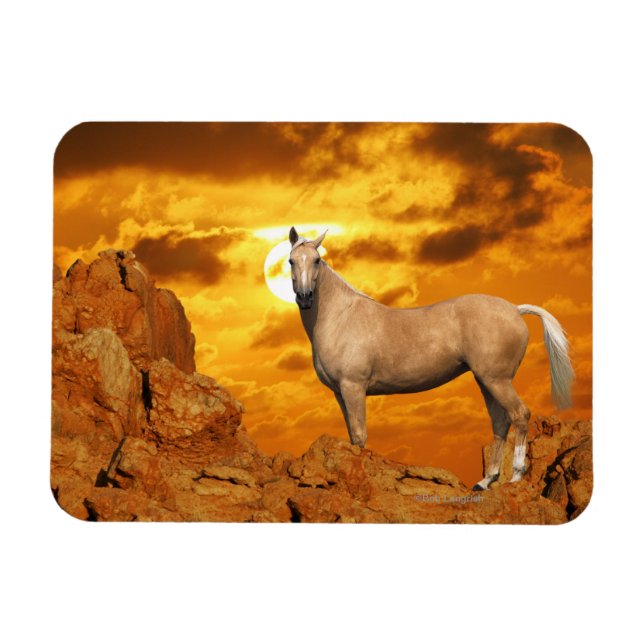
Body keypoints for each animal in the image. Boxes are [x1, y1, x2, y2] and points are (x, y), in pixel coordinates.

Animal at [287, 226, 575, 490]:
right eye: (291, 260)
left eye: (316, 260)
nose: (305, 297)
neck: (341, 317)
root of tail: (515, 309)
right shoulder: (340, 393)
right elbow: (351, 435)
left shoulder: (353, 387)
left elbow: (359, 437)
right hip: (487, 381)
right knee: (501, 421)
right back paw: (486, 481)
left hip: (498, 381)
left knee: (519, 415)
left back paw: (515, 476)